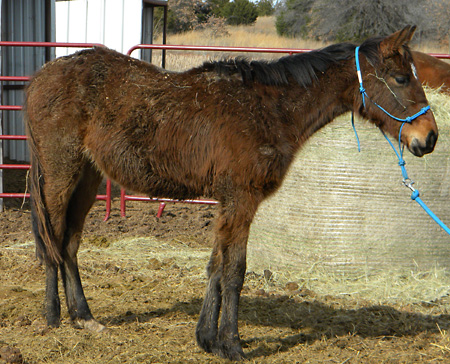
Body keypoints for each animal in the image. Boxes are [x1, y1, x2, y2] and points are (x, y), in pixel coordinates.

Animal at [23, 26, 436, 362]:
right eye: (401, 78)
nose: (429, 138)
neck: (269, 110)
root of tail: (40, 76)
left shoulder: (227, 203)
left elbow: (216, 266)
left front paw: (207, 338)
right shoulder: (241, 199)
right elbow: (234, 270)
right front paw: (232, 344)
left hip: (88, 176)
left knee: (69, 243)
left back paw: (83, 317)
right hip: (61, 172)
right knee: (52, 239)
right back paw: (52, 315)